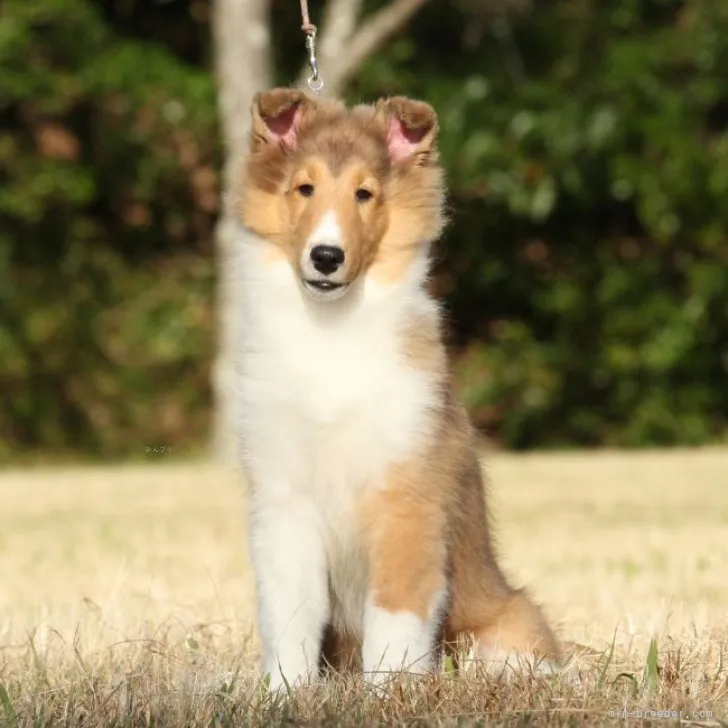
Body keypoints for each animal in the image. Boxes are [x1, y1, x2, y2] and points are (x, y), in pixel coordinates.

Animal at [236, 88, 560, 692]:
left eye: (364, 194)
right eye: (304, 188)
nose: (326, 257)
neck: (332, 334)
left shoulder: (407, 498)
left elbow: (395, 613)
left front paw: (390, 692)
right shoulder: (285, 500)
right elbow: (290, 613)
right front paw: (285, 693)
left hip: (506, 628)